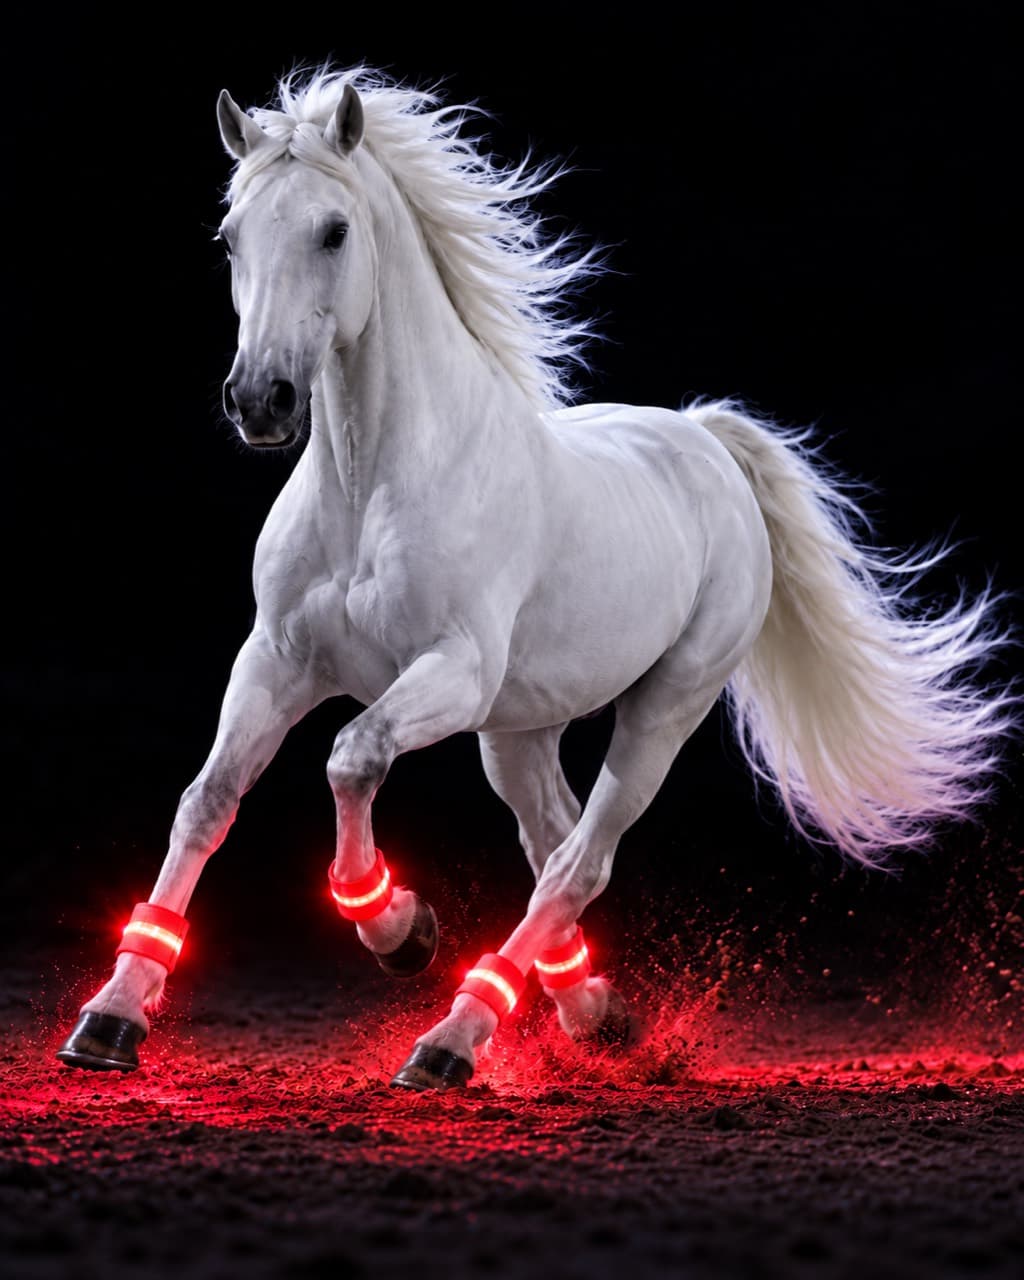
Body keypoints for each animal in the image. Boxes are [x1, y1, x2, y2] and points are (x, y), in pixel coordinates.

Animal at [57, 67, 1012, 1090]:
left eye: (334, 230)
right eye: (231, 236)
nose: (260, 402)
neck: (369, 483)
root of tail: (706, 440)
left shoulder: (452, 671)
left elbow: (351, 757)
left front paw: (400, 930)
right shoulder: (276, 660)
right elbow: (207, 801)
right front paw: (109, 1020)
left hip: (663, 705)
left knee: (577, 862)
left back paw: (450, 1040)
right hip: (519, 730)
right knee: (551, 840)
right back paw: (592, 1012)